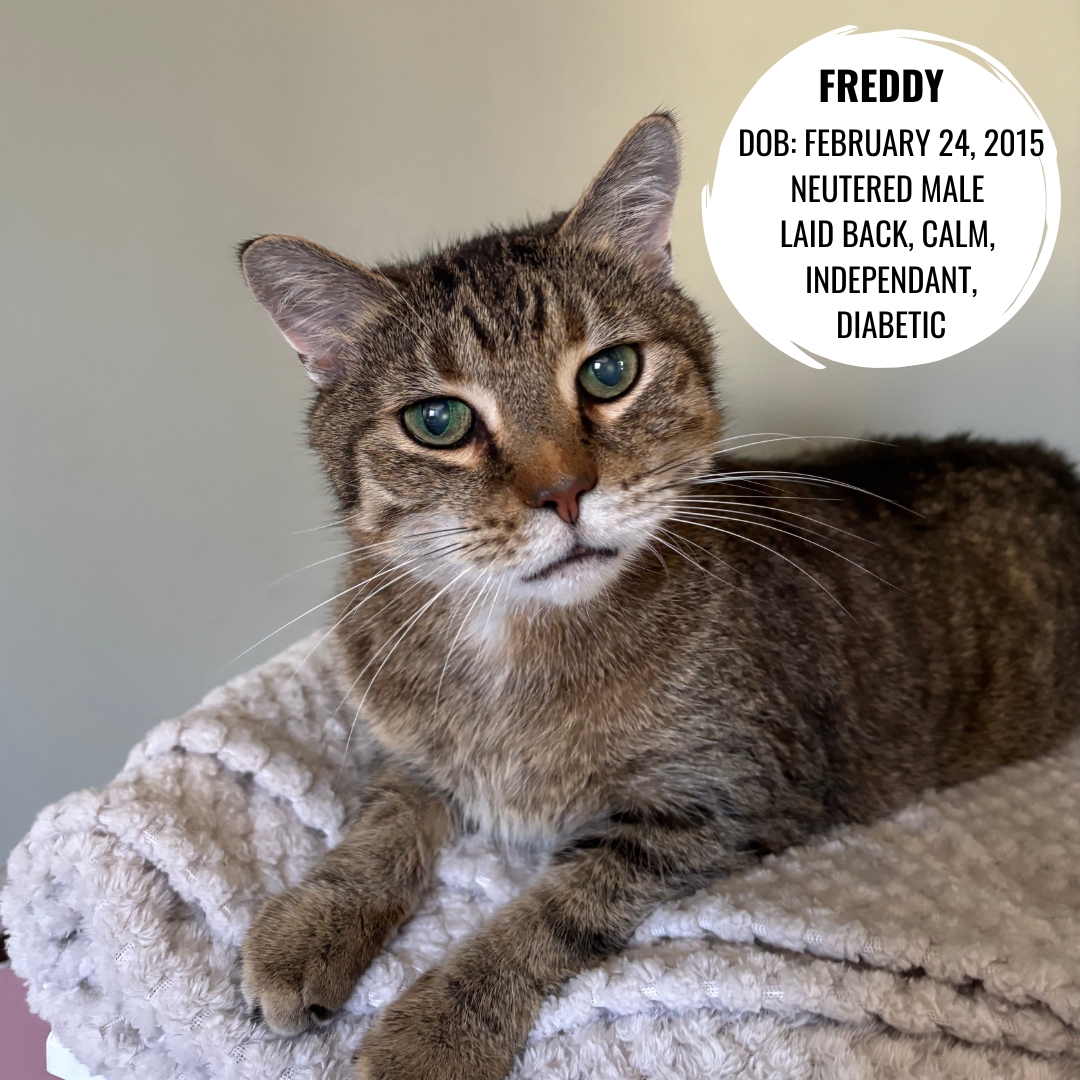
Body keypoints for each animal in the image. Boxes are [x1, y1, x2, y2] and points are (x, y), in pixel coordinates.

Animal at [237, 113, 1080, 1080]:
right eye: (437, 421)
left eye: (609, 372)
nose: (564, 492)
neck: (514, 644)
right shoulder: (413, 753)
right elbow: (377, 825)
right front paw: (310, 923)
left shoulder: (718, 803)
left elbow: (545, 916)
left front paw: (436, 1027)